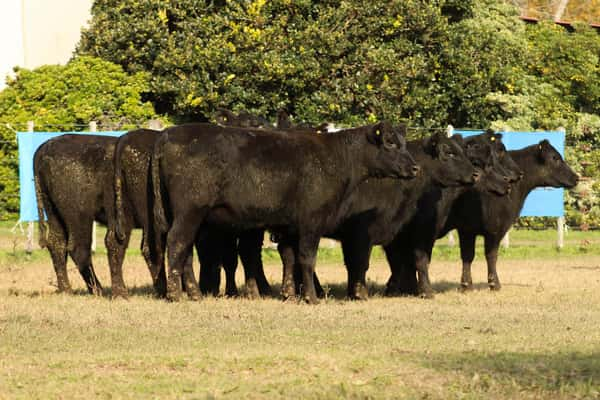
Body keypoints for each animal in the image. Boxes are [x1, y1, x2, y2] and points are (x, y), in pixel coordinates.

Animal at [34, 134, 117, 294]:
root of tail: (46, 146)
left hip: (53, 212)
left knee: (57, 244)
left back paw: (66, 289)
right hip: (80, 216)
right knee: (79, 248)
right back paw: (98, 290)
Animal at [152, 122, 420, 304]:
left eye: (404, 143)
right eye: (390, 143)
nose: (415, 167)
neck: (336, 159)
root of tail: (168, 133)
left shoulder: (291, 226)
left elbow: (290, 258)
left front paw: (289, 294)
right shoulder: (312, 221)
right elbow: (307, 258)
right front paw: (311, 297)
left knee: (185, 250)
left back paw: (194, 293)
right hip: (190, 212)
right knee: (176, 243)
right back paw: (176, 294)